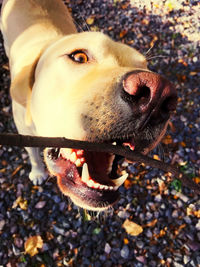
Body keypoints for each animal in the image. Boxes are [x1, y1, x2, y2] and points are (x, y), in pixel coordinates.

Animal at [1, 1, 177, 213]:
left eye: (145, 67)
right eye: (79, 57)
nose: (158, 95)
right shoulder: (24, 133)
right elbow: (33, 155)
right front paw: (37, 173)